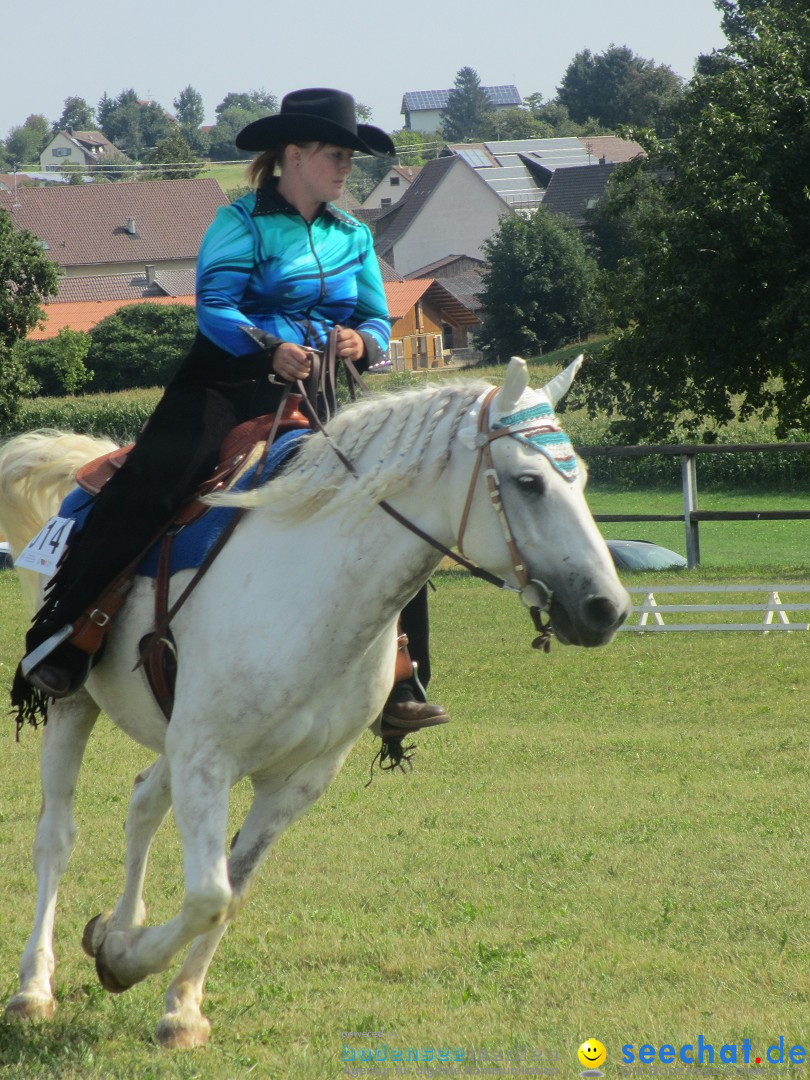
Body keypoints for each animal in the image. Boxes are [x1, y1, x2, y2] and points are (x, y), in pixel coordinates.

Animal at [0, 360, 630, 1045]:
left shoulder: (297, 779)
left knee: (143, 801)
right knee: (56, 835)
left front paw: (177, 1002)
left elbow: (231, 890)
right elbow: (208, 895)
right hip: (74, 705)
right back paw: (34, 986)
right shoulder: (207, 758)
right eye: (528, 482)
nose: (608, 607)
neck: (316, 592)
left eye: (582, 477)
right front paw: (126, 962)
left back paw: (116, 925)